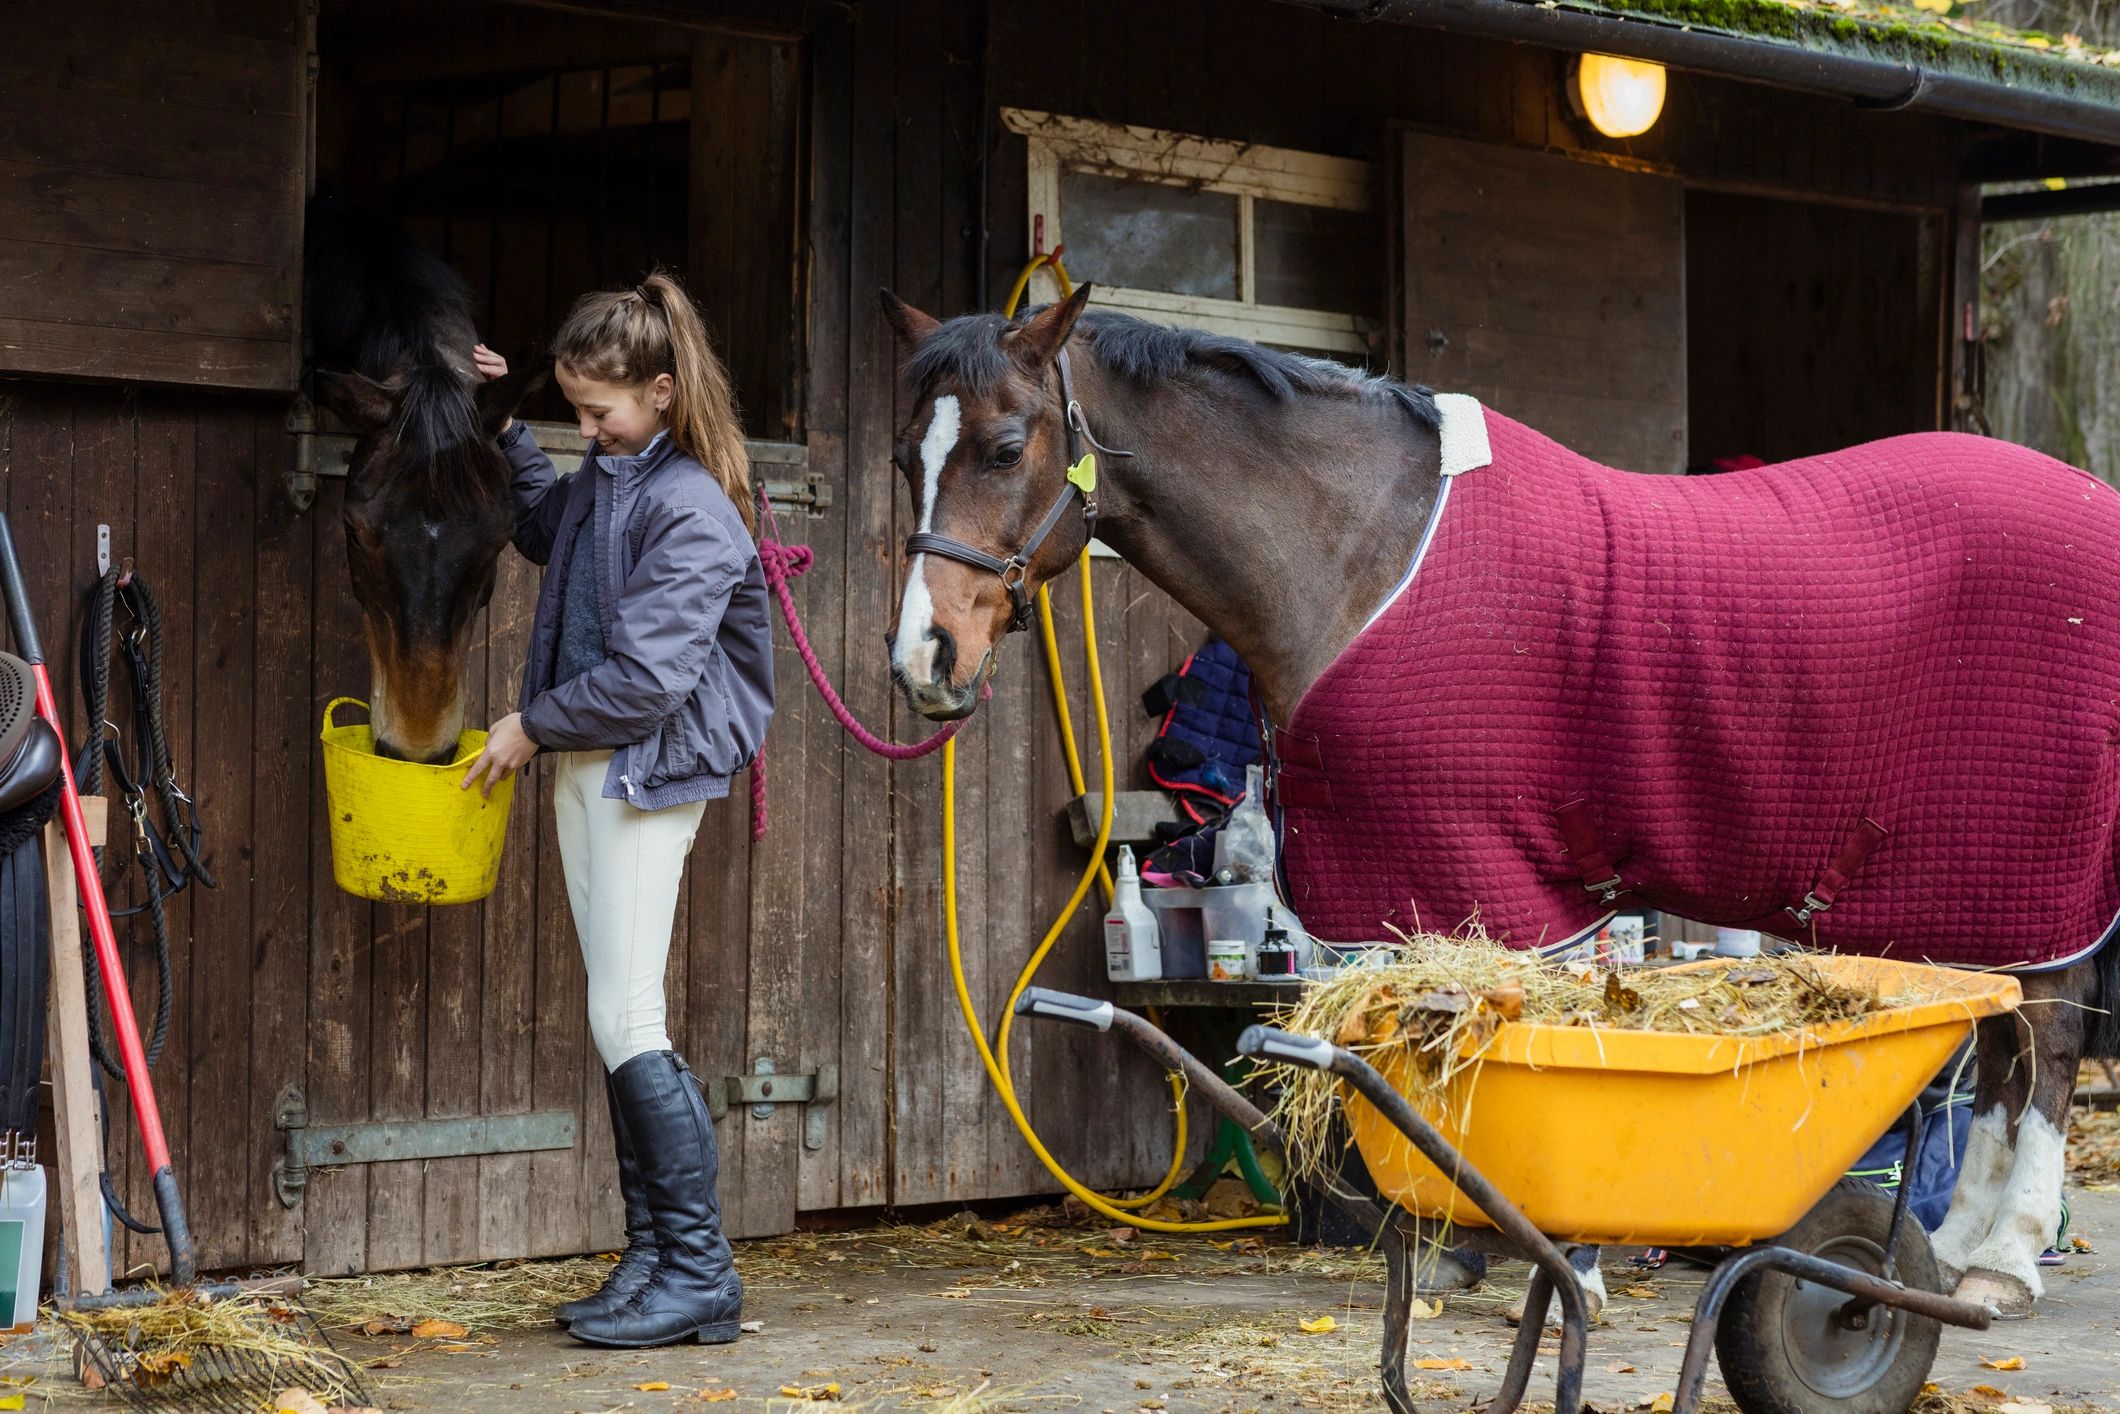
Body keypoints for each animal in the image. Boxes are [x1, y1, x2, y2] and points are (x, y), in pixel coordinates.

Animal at [877, 282, 2120, 1323]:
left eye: (1003, 445)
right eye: (901, 456)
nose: (921, 659)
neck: (1359, 550)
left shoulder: (1480, 864)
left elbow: (1509, 1052)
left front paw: (1550, 1255)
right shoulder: (1410, 874)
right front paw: (1460, 1245)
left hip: (2029, 858)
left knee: (2049, 1039)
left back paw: (1999, 1261)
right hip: (1975, 880)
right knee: (2004, 1042)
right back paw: (1950, 1254)